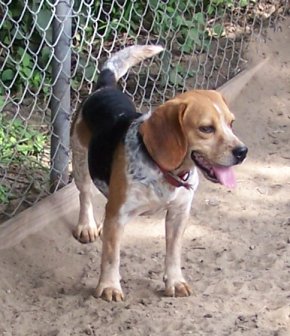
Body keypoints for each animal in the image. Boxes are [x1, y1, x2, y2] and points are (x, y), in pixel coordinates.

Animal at [71, 45, 248, 302]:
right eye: (206, 129)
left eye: (231, 123)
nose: (242, 152)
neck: (164, 170)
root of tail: (105, 87)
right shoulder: (118, 214)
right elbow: (111, 256)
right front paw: (109, 286)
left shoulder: (178, 213)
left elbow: (173, 253)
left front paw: (175, 282)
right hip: (80, 161)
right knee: (84, 194)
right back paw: (87, 226)